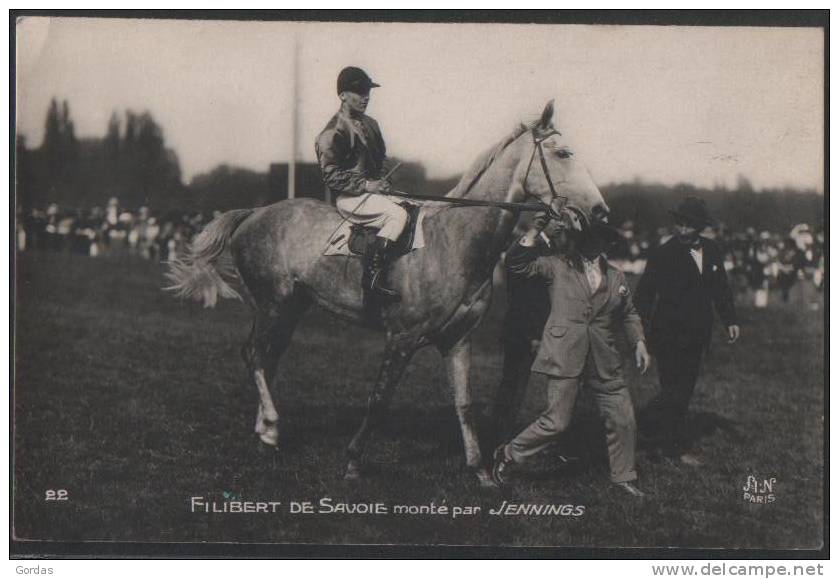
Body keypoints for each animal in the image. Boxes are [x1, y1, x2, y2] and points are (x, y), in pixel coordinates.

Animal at [166, 102, 612, 488]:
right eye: (563, 152)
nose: (601, 212)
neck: (455, 240)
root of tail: (255, 213)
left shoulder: (458, 338)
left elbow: (464, 403)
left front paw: (479, 470)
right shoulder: (402, 337)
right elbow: (379, 398)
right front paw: (352, 462)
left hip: (290, 309)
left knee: (267, 359)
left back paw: (264, 432)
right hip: (273, 305)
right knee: (255, 357)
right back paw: (272, 428)